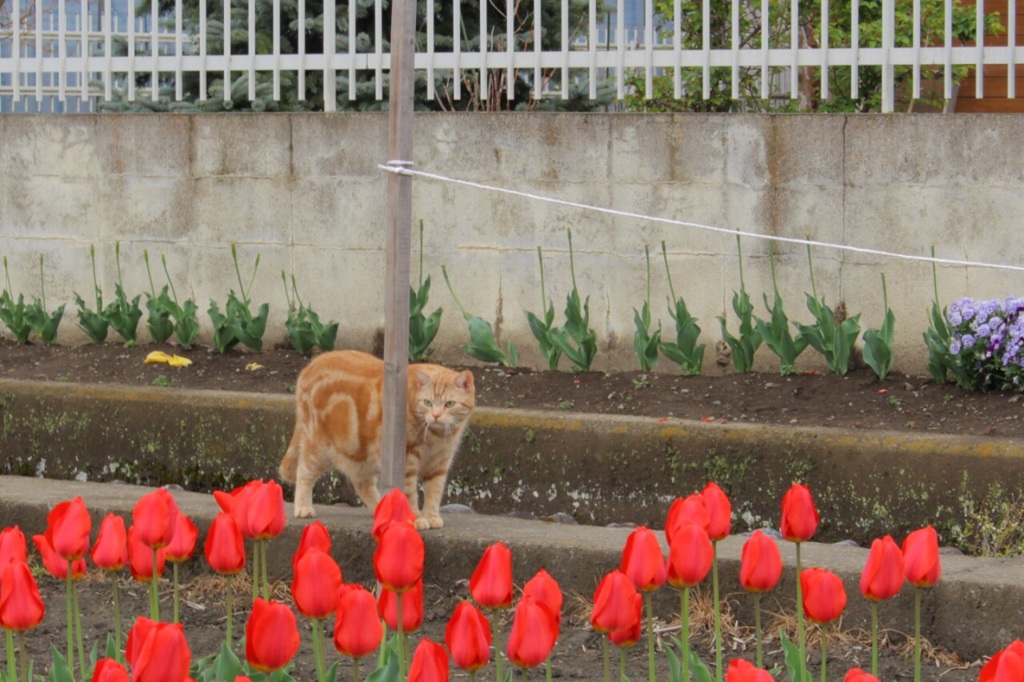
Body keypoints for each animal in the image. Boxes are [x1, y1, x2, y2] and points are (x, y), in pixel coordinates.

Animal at [276, 348, 475, 528]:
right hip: (319, 449)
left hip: (358, 452)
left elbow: (434, 493)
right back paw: (303, 508)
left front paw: (432, 516)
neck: (437, 437)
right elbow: (410, 494)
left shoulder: (439, 465)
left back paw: (385, 509)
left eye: (450, 404)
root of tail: (309, 366)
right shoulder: (406, 463)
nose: (436, 415)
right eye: (427, 402)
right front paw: (416, 518)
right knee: (304, 472)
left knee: (362, 485)